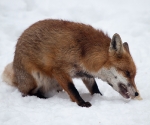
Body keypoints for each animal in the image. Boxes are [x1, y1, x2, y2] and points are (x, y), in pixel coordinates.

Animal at [1, 19, 139, 107]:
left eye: (134, 75)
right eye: (127, 73)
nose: (137, 93)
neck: (83, 51)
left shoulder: (85, 74)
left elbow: (94, 88)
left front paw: (98, 97)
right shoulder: (59, 70)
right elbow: (72, 89)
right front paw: (82, 103)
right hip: (35, 79)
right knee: (26, 93)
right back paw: (43, 98)